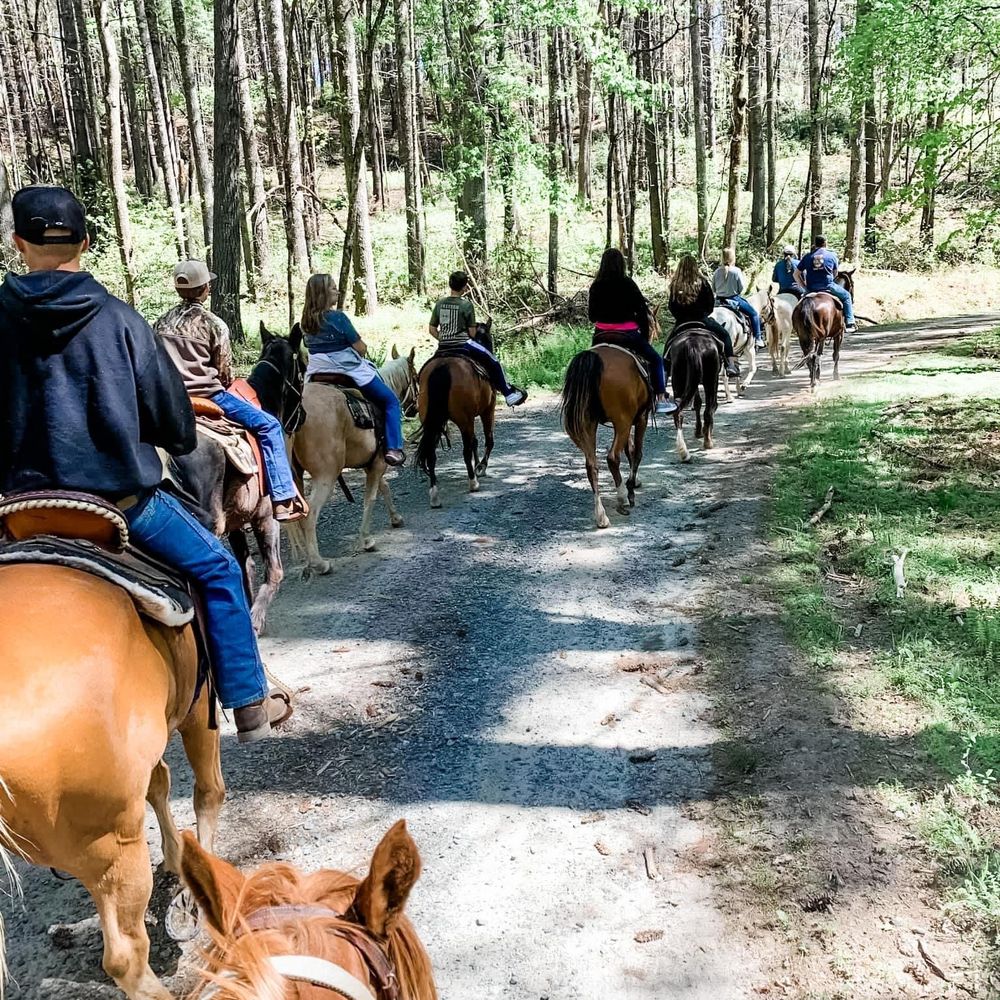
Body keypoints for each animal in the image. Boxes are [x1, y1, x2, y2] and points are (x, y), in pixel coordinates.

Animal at [0, 560, 223, 996]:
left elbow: (159, 784)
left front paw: (175, 856)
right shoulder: (199, 706)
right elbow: (208, 792)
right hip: (112, 851)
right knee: (125, 956)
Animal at [172, 324, 304, 632]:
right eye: (303, 368)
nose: (302, 416)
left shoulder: (234, 523)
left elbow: (246, 569)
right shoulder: (265, 516)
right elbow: (273, 572)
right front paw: (255, 621)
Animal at [414, 320, 496, 508]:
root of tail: (443, 367)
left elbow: (475, 442)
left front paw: (478, 465)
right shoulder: (488, 409)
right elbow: (487, 440)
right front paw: (481, 467)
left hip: (432, 422)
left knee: (431, 454)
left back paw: (434, 496)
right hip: (464, 420)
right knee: (466, 450)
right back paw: (473, 483)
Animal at [560, 342, 652, 532]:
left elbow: (630, 450)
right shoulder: (641, 418)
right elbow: (637, 452)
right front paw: (631, 488)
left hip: (589, 423)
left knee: (591, 465)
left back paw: (601, 515)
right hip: (622, 421)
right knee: (612, 458)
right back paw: (622, 498)